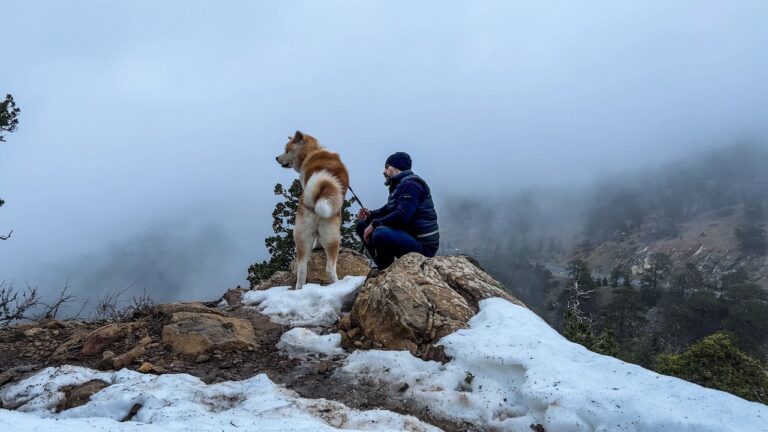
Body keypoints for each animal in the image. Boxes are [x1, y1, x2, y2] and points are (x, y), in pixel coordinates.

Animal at [274, 130, 350, 288]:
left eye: (286, 150)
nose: (276, 158)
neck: (313, 151)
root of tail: (320, 196)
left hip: (302, 237)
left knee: (302, 270)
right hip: (333, 237)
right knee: (329, 269)